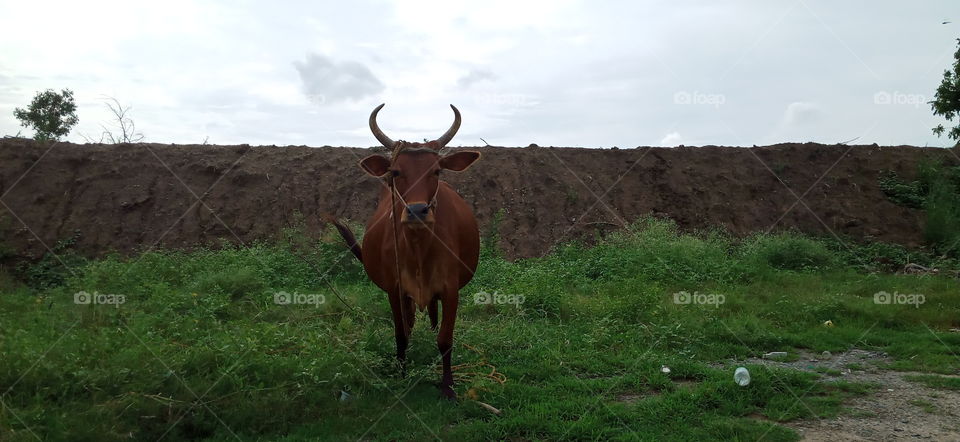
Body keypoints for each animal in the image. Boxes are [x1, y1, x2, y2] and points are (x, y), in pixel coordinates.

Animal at [332, 104, 481, 400]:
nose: (417, 211)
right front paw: (401, 374)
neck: (419, 248)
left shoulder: (451, 290)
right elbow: (401, 334)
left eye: (436, 171)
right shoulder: (395, 289)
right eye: (396, 172)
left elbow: (445, 339)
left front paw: (448, 386)